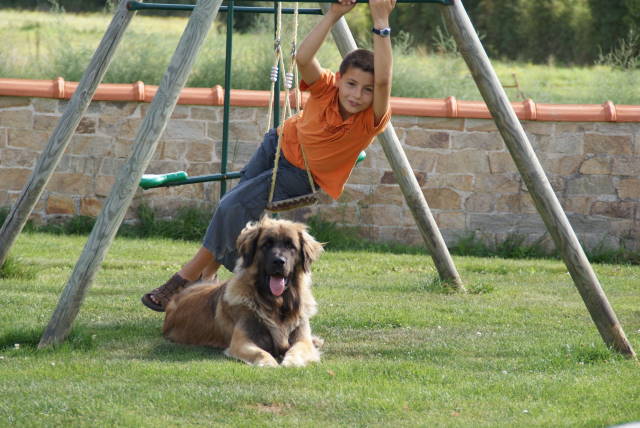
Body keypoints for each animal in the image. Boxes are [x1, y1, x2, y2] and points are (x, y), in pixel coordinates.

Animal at [162, 217, 324, 367]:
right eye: (266, 244)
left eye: (291, 246)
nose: (279, 261)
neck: (276, 303)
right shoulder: (242, 341)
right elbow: (261, 352)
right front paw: (269, 363)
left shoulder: (302, 339)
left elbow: (297, 349)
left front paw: (292, 362)